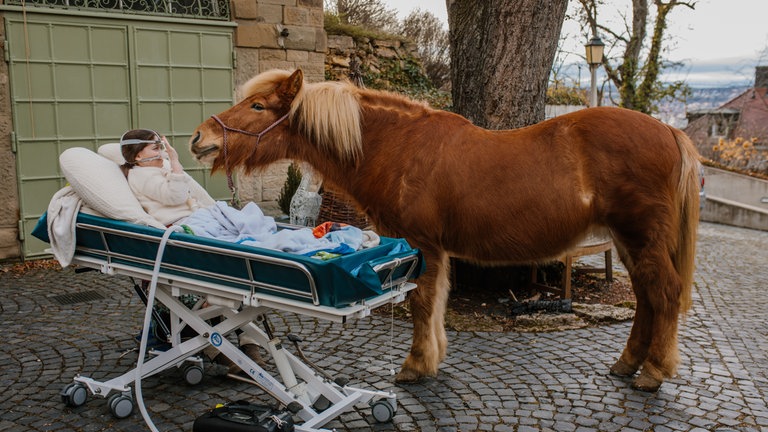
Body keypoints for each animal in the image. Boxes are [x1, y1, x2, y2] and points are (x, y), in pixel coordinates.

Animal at [189, 68, 701, 392]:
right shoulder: (433, 249)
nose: (199, 138)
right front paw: (431, 360)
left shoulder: (422, 244)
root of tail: (668, 132)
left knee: (665, 294)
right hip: (630, 241)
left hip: (641, 238)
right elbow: (433, 303)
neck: (397, 146)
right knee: (648, 298)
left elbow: (421, 303)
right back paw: (627, 364)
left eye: (258, 105)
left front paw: (415, 366)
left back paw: (653, 372)